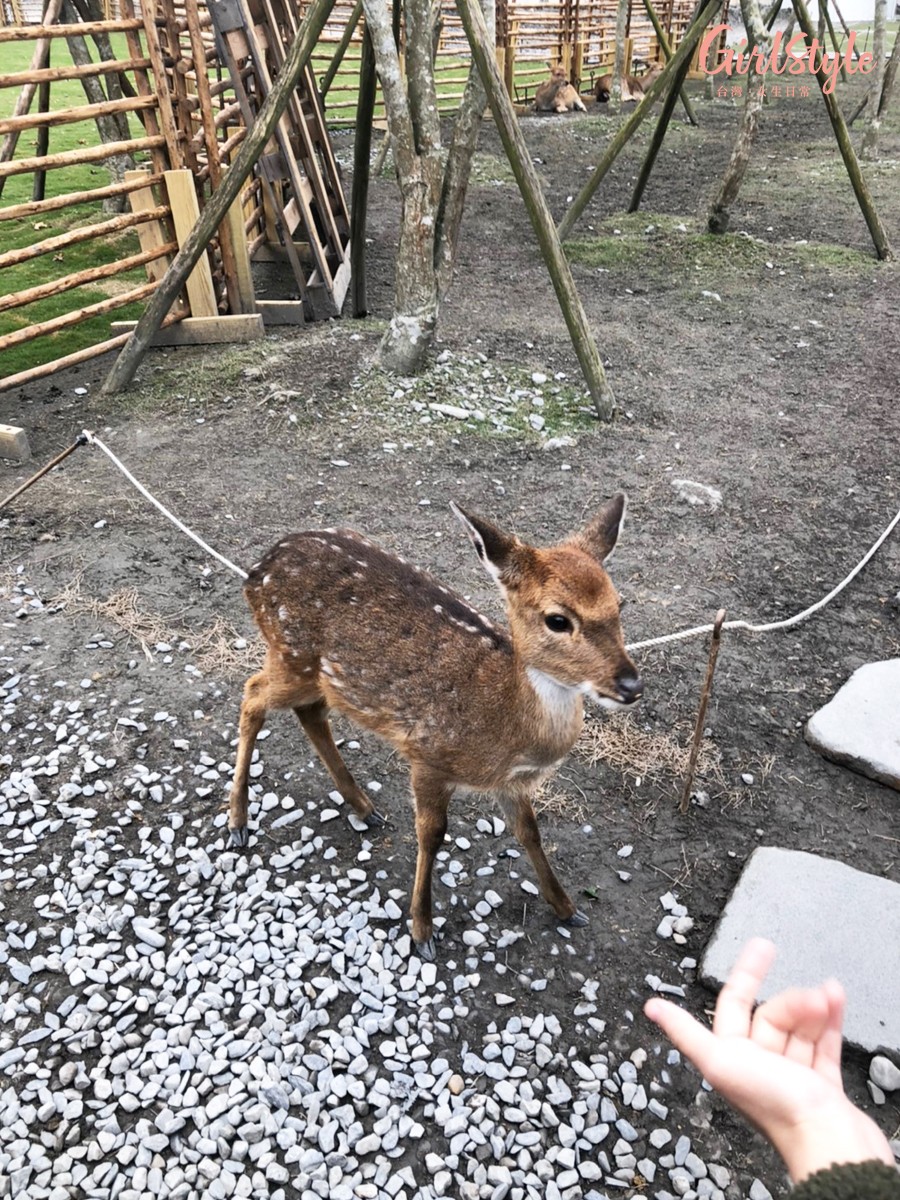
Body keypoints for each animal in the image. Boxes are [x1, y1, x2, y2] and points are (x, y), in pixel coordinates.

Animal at [227, 497, 643, 961]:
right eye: (557, 619)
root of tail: (256, 571)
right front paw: (422, 930)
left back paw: (364, 807)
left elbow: (530, 833)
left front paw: (567, 908)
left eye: (619, 604)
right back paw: (238, 819)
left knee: (309, 713)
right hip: (290, 654)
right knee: (252, 694)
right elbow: (432, 835)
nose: (631, 685)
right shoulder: (427, 754)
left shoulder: (510, 784)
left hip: (318, 677)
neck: (504, 725)